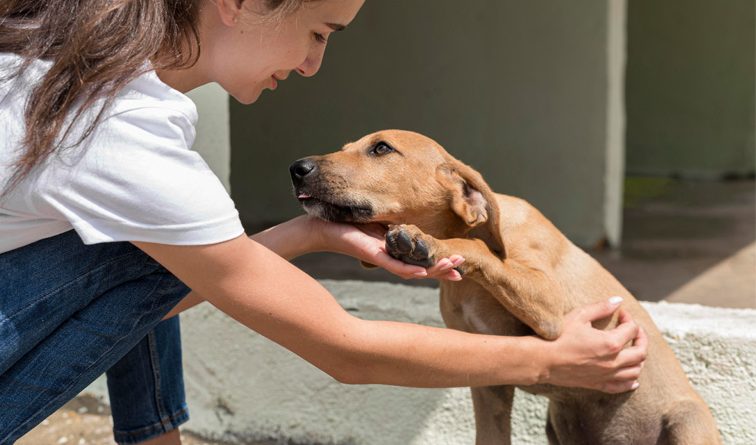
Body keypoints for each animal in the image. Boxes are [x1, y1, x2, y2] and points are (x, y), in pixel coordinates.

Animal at [289, 129, 721, 445]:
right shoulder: (488, 380)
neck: (469, 286)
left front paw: (426, 243)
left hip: (686, 421)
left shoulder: (552, 309)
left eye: (381, 148)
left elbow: (479, 249)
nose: (297, 167)